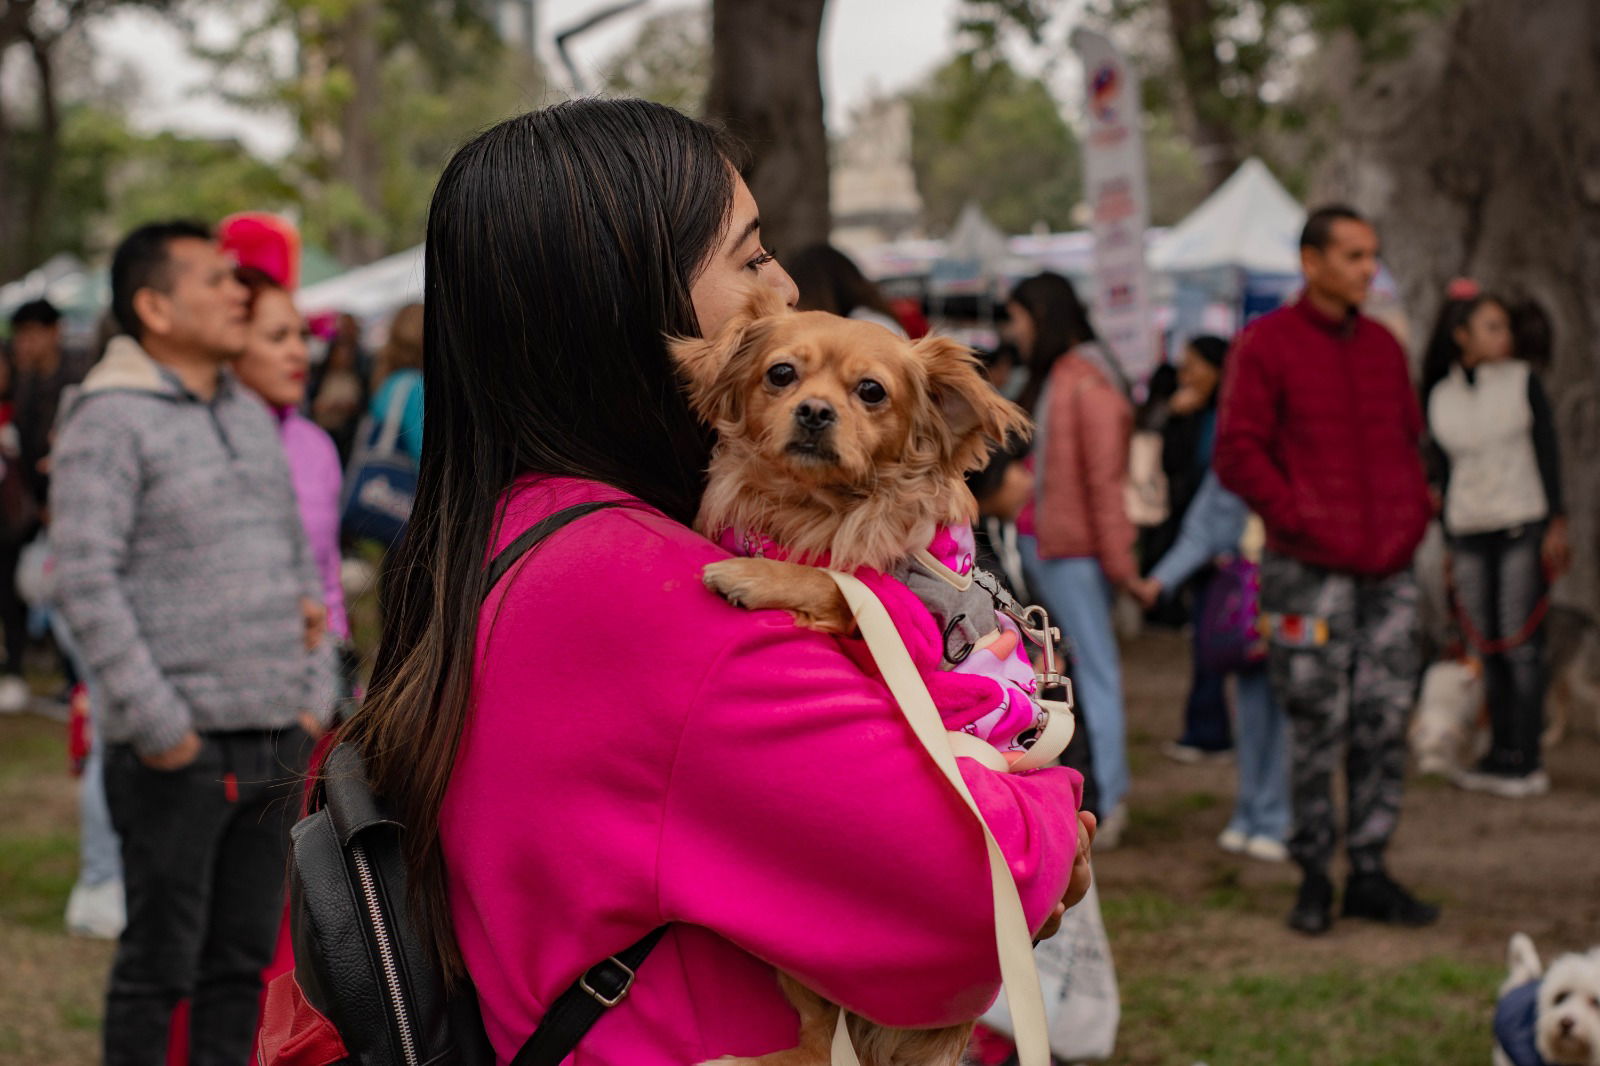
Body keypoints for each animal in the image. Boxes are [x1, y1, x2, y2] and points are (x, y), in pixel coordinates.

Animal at [668, 286, 1043, 1062]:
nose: (814, 411)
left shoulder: (906, 623)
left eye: (871, 392)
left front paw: (755, 577)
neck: (812, 509)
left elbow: (838, 583)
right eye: (781, 374)